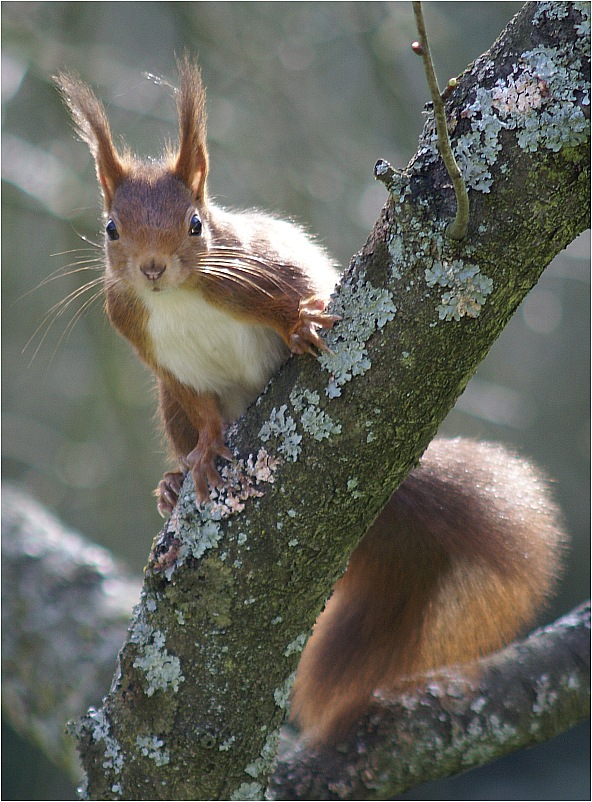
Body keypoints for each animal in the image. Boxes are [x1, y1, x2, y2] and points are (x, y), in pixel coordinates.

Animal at [54, 57, 564, 744]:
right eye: (111, 228)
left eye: (195, 223)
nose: (152, 268)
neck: (177, 298)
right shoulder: (152, 351)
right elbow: (202, 411)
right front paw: (205, 455)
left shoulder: (260, 267)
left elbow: (291, 295)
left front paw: (299, 326)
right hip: (165, 403)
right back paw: (171, 483)